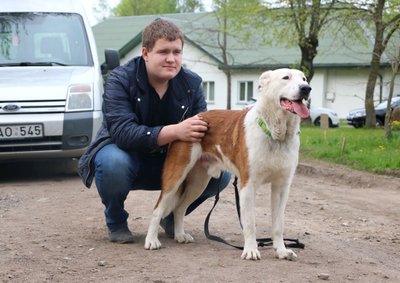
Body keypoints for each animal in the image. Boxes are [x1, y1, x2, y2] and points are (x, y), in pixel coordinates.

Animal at [145, 69, 310, 262]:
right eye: (286, 77)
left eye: (304, 78)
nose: (306, 88)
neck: (276, 134)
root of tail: (185, 121)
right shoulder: (248, 186)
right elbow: (250, 223)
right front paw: (251, 250)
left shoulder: (281, 187)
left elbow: (278, 224)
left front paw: (282, 251)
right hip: (176, 176)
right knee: (157, 209)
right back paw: (151, 241)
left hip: (197, 183)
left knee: (179, 209)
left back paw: (179, 235)